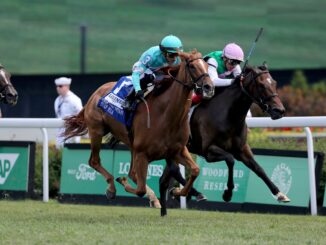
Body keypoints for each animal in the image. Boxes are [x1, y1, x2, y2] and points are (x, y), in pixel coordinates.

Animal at [62, 50, 215, 206]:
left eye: (207, 66)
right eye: (192, 66)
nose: (209, 87)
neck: (166, 114)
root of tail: (96, 93)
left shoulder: (177, 150)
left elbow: (195, 170)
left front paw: (177, 192)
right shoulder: (142, 153)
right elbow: (140, 189)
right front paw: (122, 181)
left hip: (131, 145)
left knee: (132, 173)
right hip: (97, 131)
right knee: (95, 161)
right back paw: (112, 188)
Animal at [159, 63, 290, 216]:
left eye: (274, 83)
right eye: (261, 85)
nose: (279, 111)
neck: (228, 116)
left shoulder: (242, 150)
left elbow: (258, 168)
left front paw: (280, 194)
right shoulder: (209, 151)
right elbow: (230, 159)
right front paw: (227, 194)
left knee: (164, 179)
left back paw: (170, 204)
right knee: (174, 170)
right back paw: (191, 193)